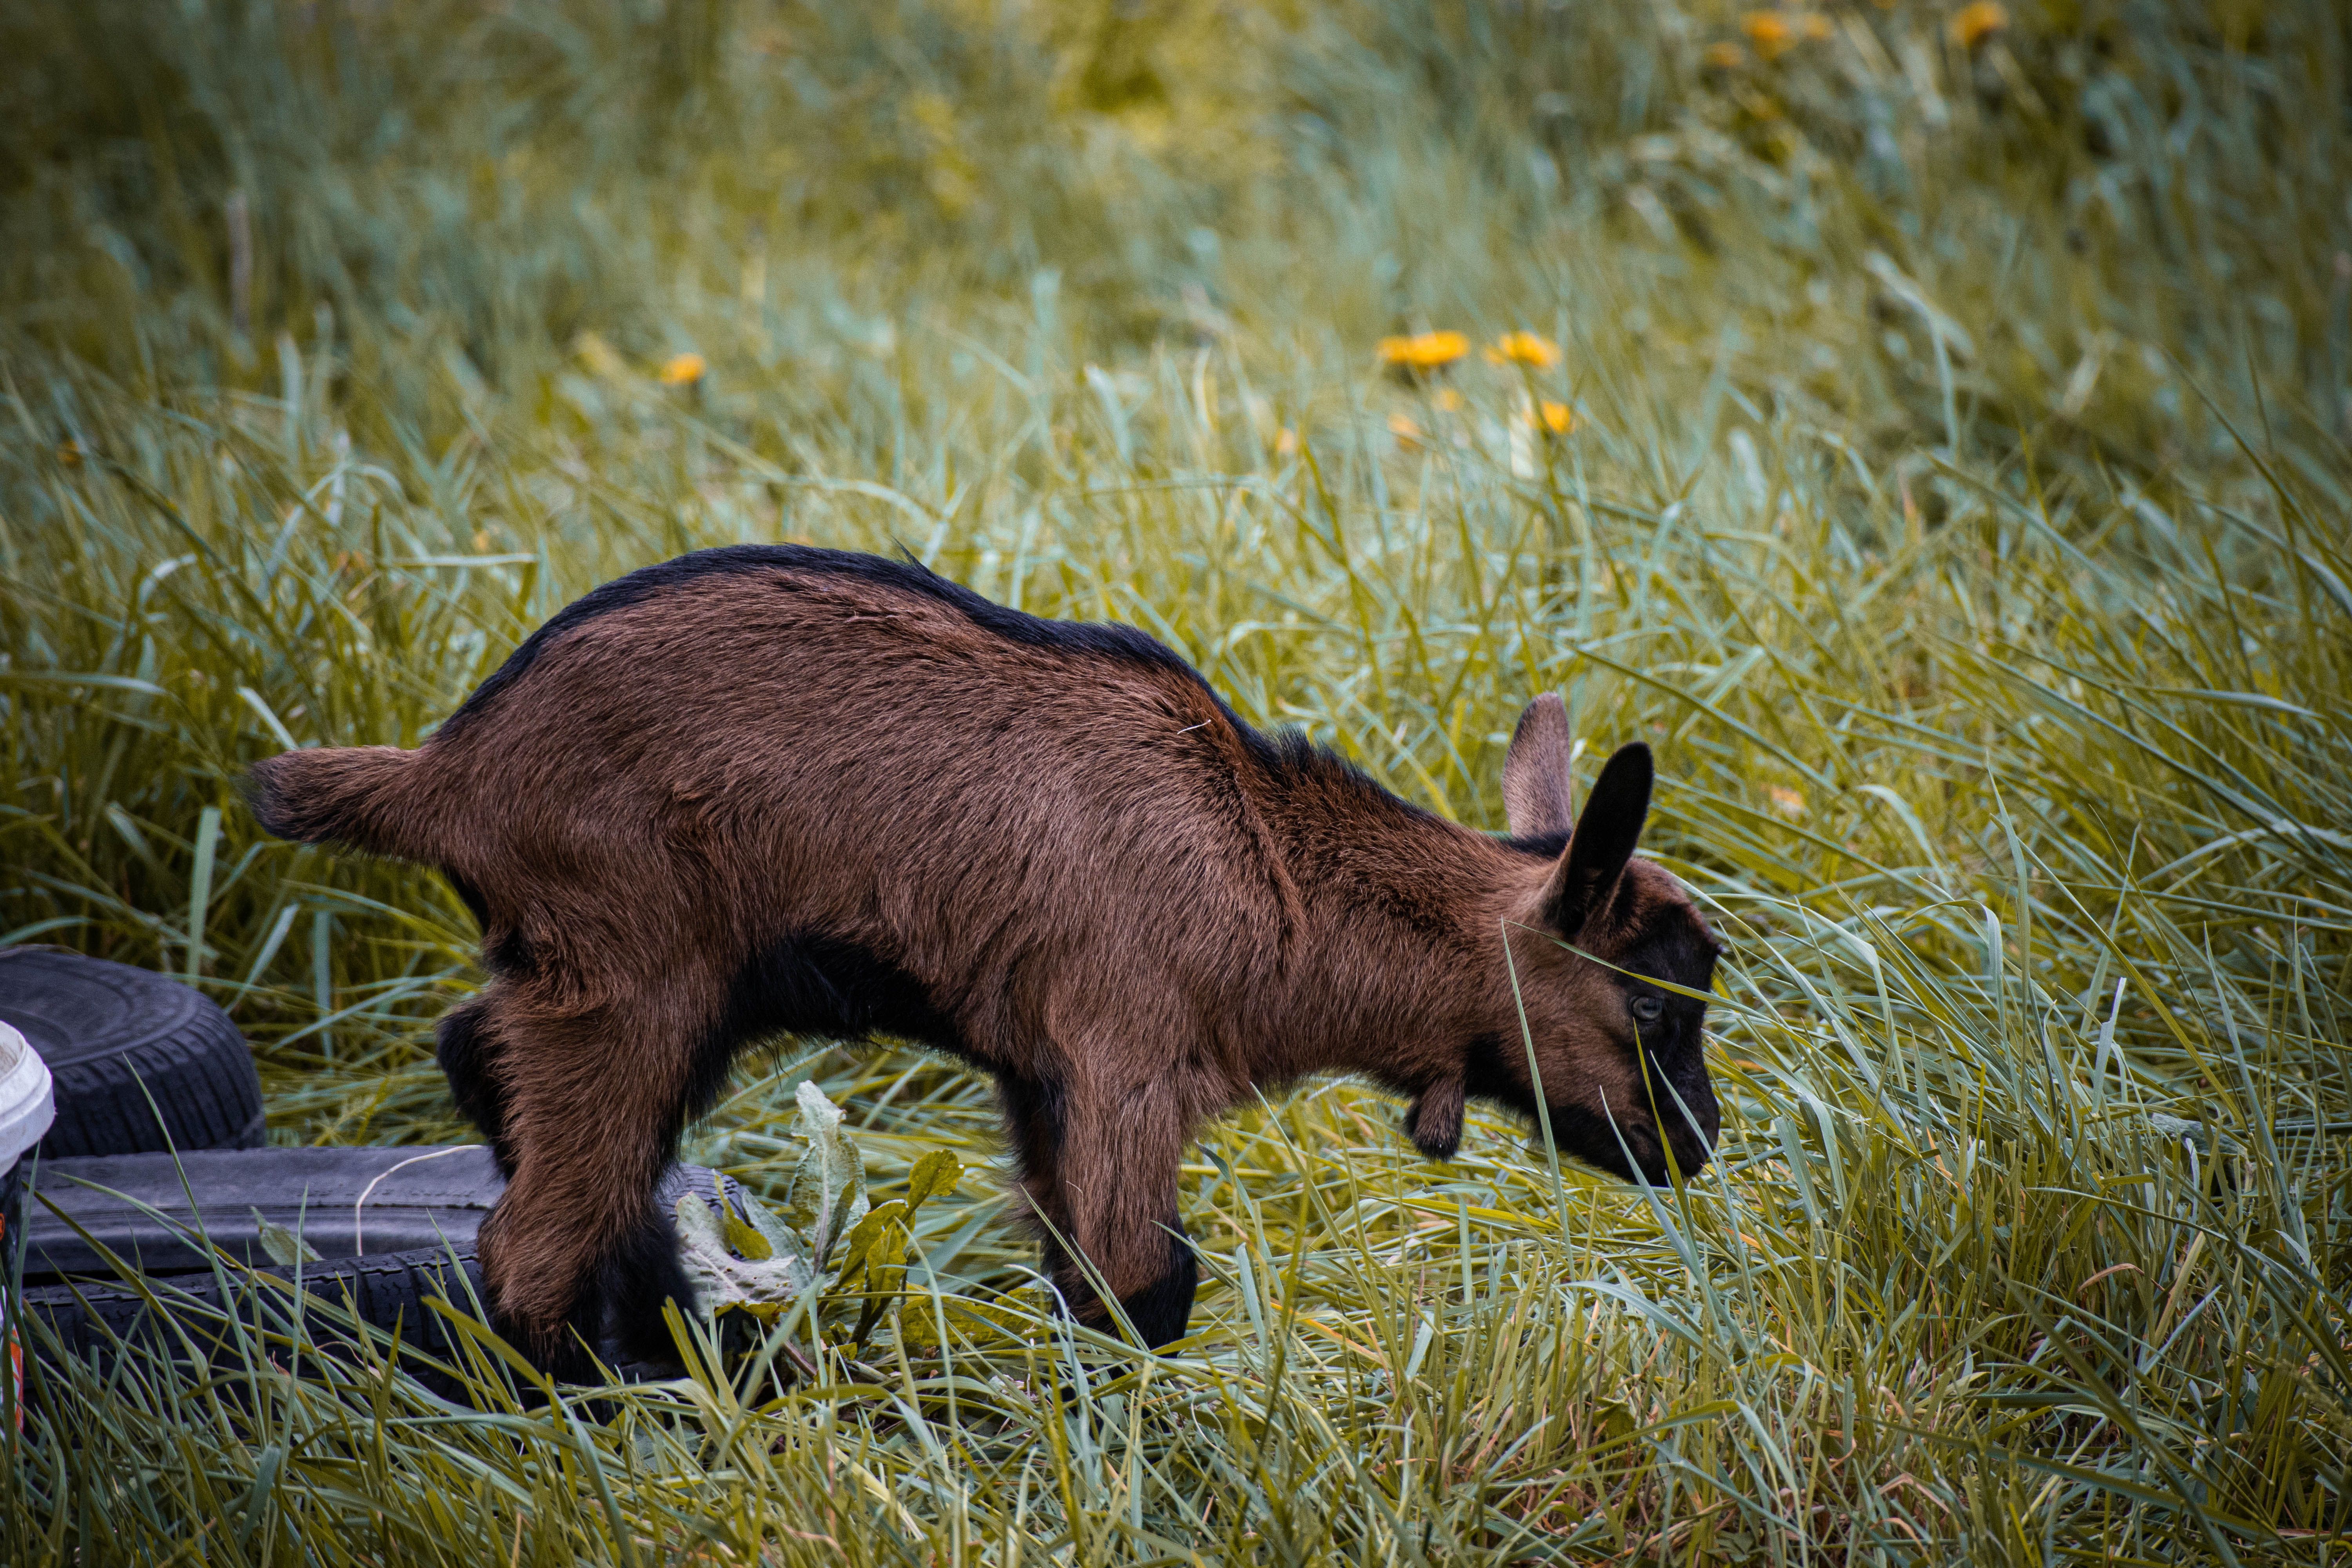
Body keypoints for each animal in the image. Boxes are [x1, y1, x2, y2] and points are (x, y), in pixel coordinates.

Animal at [247, 545, 1721, 1374]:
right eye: (1656, 1013)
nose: (1697, 1148)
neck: (1267, 871)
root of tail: (447, 769)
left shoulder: (1042, 1078)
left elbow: (1085, 1276)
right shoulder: (1125, 1054)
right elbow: (1140, 1288)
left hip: (592, 978)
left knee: (490, 1069)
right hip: (637, 978)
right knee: (526, 1245)